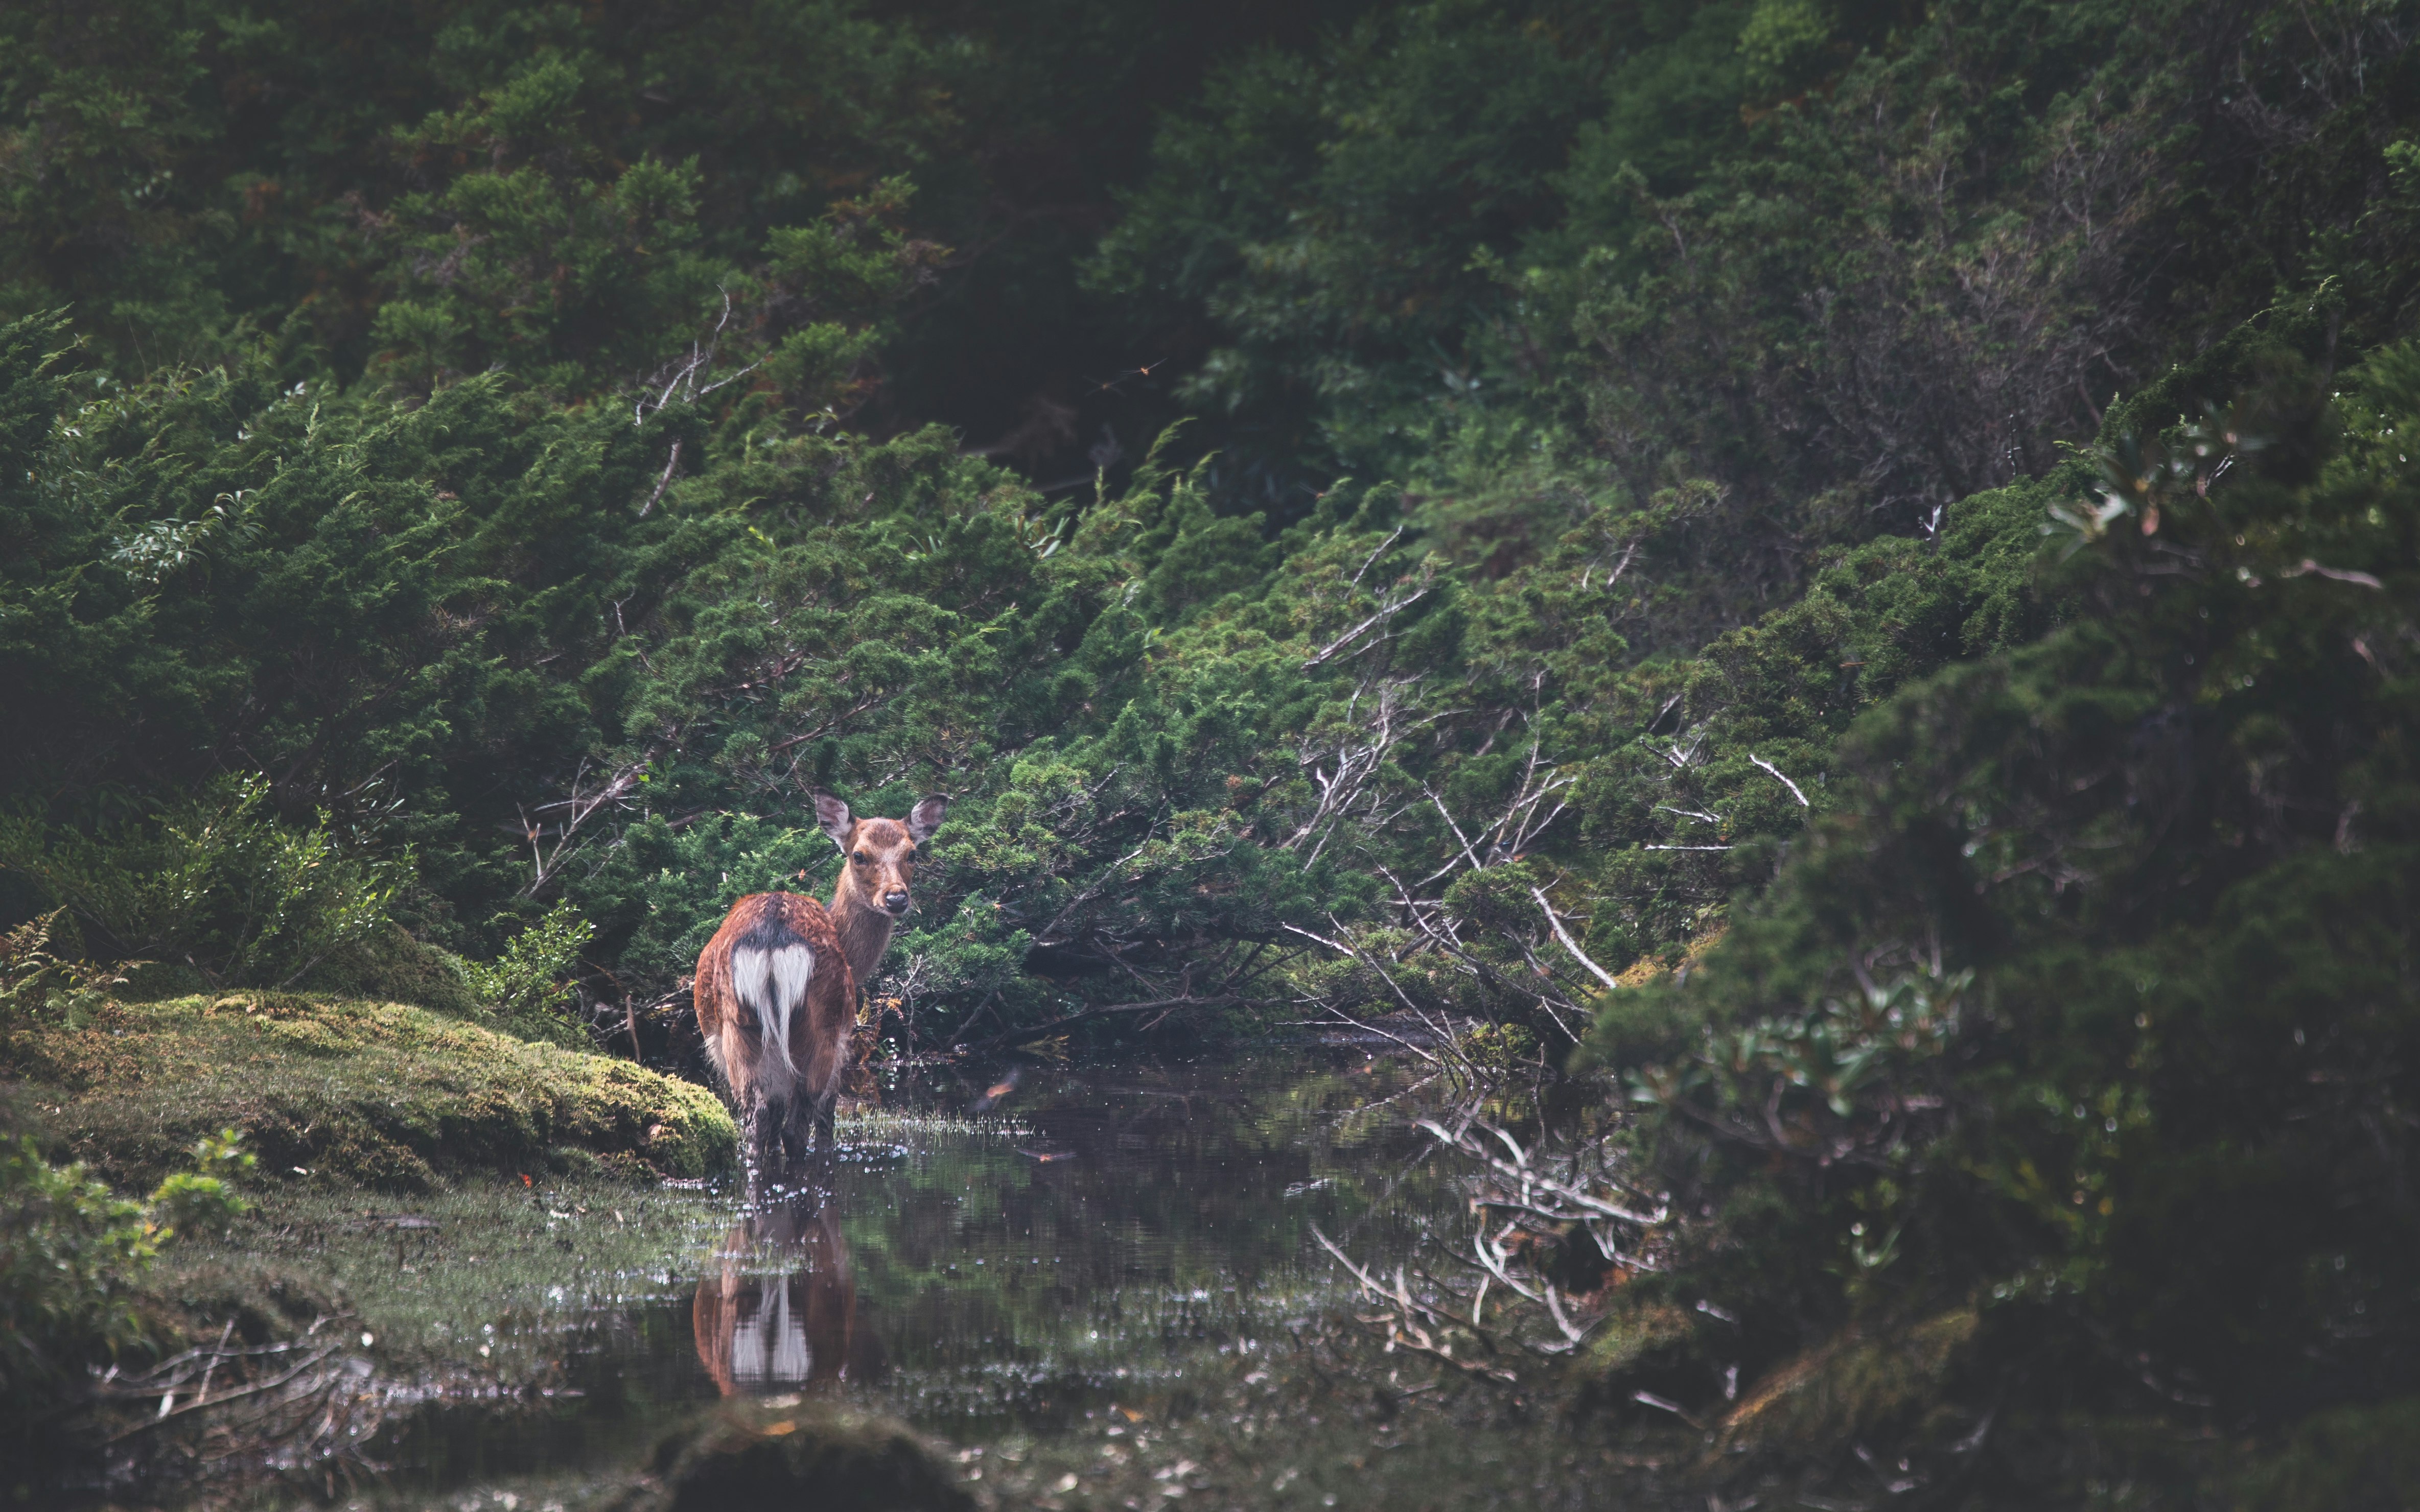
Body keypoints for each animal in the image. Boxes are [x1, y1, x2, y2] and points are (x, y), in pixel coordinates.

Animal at [692, 784, 944, 1185]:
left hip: (737, 1030)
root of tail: (772, 939)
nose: (896, 898)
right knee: (800, 1126)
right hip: (821, 1028)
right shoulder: (843, 1037)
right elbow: (825, 1123)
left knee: (757, 1123)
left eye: (912, 854)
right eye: (859, 855)